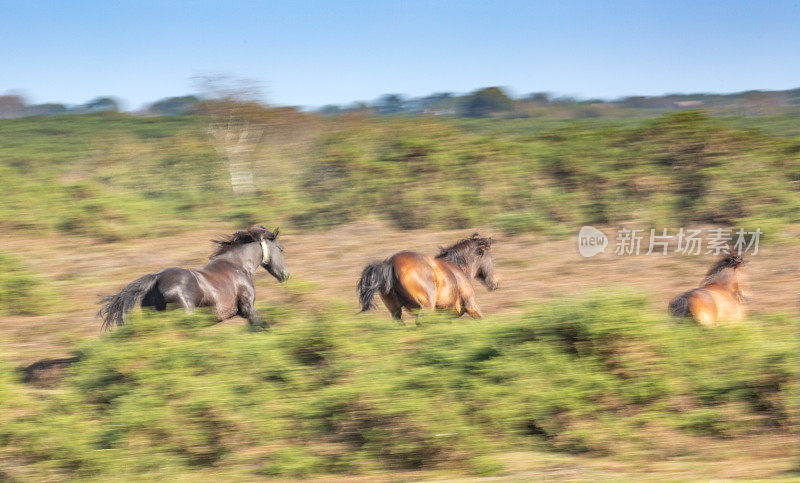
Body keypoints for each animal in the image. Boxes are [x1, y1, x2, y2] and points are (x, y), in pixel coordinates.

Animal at [98, 226, 290, 330]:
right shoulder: (248, 309)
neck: (238, 266)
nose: (286, 275)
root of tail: (156, 278)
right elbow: (262, 326)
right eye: (281, 249)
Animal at [358, 233, 496, 324]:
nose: (495, 283)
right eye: (491, 258)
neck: (458, 268)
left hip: (395, 311)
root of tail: (390, 263)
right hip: (427, 307)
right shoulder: (471, 306)